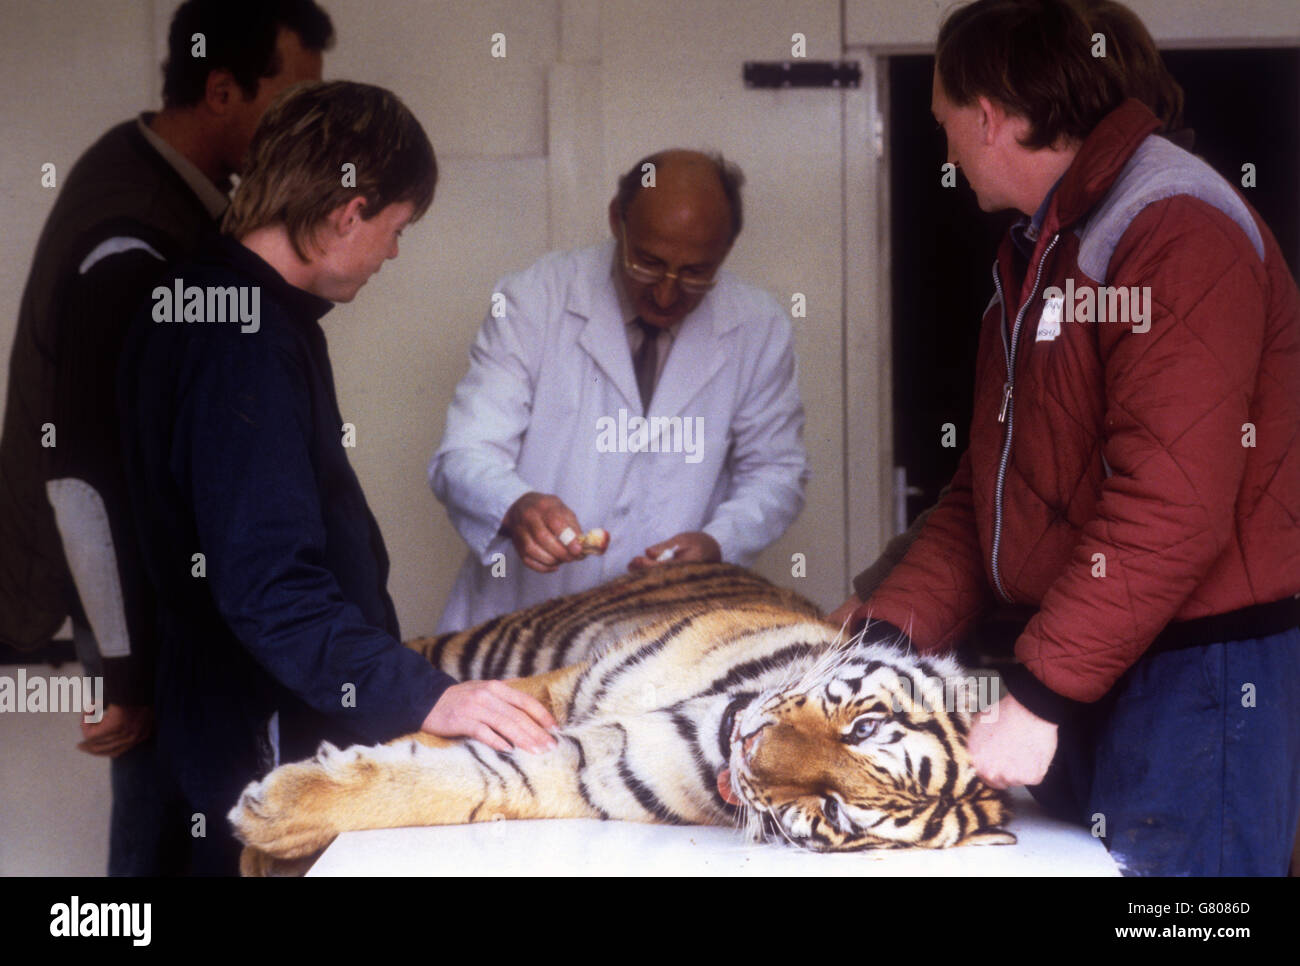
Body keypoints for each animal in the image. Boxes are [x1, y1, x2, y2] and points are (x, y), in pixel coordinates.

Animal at [228, 559, 1013, 878]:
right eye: (864, 727)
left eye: (832, 811)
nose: (751, 753)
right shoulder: (557, 688)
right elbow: (437, 730)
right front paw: (265, 829)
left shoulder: (584, 768)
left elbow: (463, 782)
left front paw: (273, 818)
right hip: (501, 641)